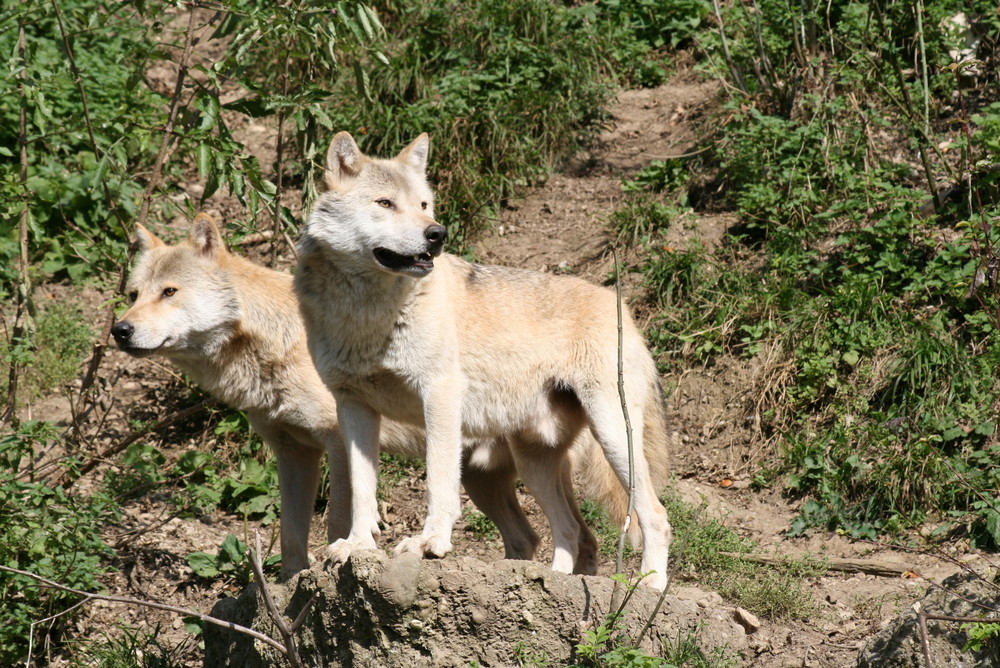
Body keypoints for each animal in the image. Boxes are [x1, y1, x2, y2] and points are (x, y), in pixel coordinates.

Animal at [113, 217, 612, 576]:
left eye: (170, 292)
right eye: (134, 294)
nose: (120, 329)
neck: (275, 343)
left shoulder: (336, 441)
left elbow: (338, 519)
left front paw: (335, 563)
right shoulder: (292, 454)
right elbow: (291, 533)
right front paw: (289, 584)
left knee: (572, 534)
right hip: (490, 479)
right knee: (549, 537)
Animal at [294, 132, 672, 588]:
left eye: (424, 205)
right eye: (385, 203)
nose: (437, 234)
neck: (366, 313)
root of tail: (625, 310)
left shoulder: (438, 393)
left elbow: (439, 481)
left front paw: (430, 543)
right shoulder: (352, 406)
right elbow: (362, 491)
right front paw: (357, 546)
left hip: (613, 436)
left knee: (655, 515)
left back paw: (650, 586)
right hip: (535, 461)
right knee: (571, 530)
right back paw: (551, 580)